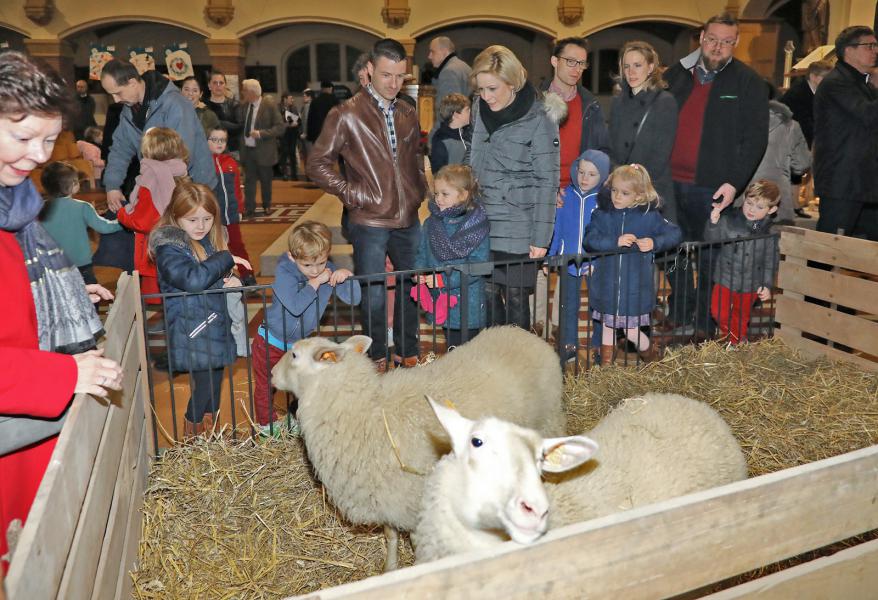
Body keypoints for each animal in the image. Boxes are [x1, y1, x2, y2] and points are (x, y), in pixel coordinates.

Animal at [272, 326, 568, 568]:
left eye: (295, 355)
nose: (273, 374)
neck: (364, 410)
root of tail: (527, 334)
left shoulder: (414, 502)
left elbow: (418, 543)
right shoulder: (387, 497)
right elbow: (390, 535)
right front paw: (390, 567)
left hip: (549, 421)